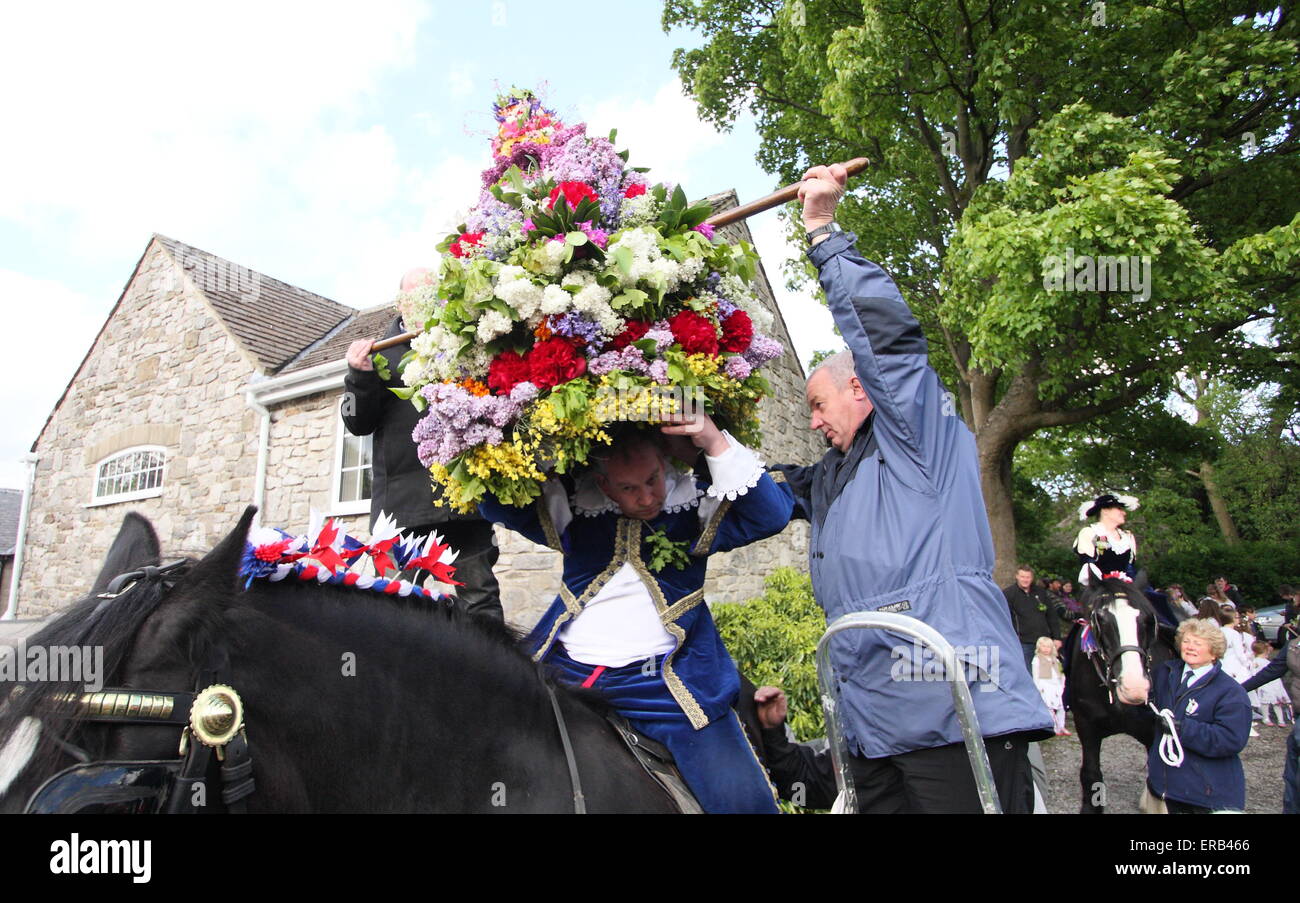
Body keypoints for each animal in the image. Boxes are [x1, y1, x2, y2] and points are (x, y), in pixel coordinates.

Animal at [1066, 582, 1180, 815]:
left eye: (1146, 620)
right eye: (1100, 620)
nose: (1133, 686)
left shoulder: (1154, 730)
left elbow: (1157, 783)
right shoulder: (1086, 726)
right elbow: (1091, 773)